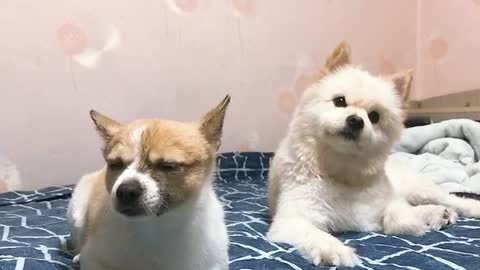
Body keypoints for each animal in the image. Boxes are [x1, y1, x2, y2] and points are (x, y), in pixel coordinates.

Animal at [67, 96, 231, 270]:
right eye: (115, 164)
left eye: (168, 166)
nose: (126, 191)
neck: (156, 226)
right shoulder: (93, 259)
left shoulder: (216, 263)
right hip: (76, 215)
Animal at [266, 41, 480, 266]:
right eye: (339, 101)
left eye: (374, 116)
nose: (355, 120)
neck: (342, 171)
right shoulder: (292, 219)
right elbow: (316, 234)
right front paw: (335, 250)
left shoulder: (383, 203)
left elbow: (397, 213)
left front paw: (410, 220)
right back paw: (439, 214)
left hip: (419, 189)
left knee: (451, 200)